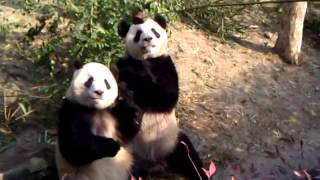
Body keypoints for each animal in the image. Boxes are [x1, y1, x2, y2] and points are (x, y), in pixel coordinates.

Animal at [114, 11, 208, 180]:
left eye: (154, 31)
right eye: (138, 34)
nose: (148, 39)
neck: (146, 60)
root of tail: (154, 163)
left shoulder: (165, 65)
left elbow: (165, 97)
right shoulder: (122, 67)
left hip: (171, 142)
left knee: (189, 156)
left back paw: (201, 174)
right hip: (127, 150)